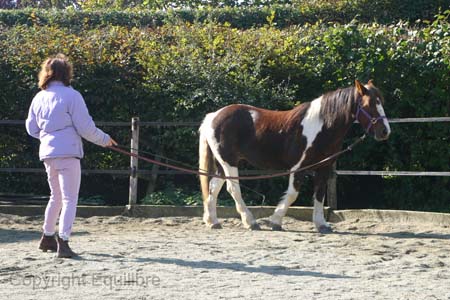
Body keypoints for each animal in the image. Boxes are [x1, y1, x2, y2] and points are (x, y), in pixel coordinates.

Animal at [198, 79, 390, 232]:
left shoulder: (323, 168)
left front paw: (321, 224)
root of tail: (213, 116)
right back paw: (250, 221)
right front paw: (275, 221)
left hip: (223, 163)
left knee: (214, 186)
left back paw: (213, 221)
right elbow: (292, 194)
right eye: (369, 105)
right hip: (229, 162)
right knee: (233, 189)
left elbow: (319, 195)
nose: (385, 131)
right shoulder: (299, 168)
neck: (322, 126)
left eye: (381, 102)